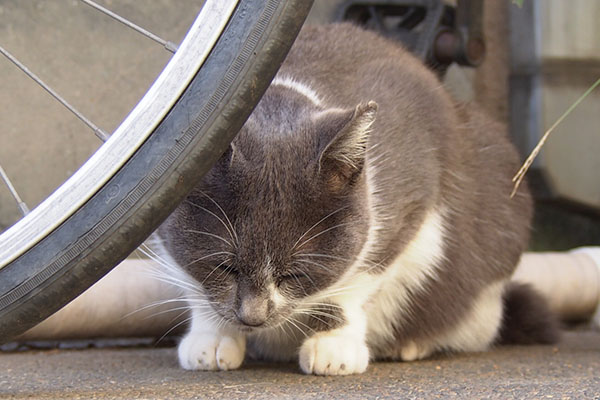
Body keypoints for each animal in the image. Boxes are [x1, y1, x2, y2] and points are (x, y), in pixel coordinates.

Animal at [154, 23, 556, 376]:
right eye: (224, 266)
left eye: (295, 274)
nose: (253, 317)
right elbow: (192, 281)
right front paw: (212, 337)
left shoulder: (408, 206)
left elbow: (357, 281)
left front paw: (333, 346)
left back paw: (411, 344)